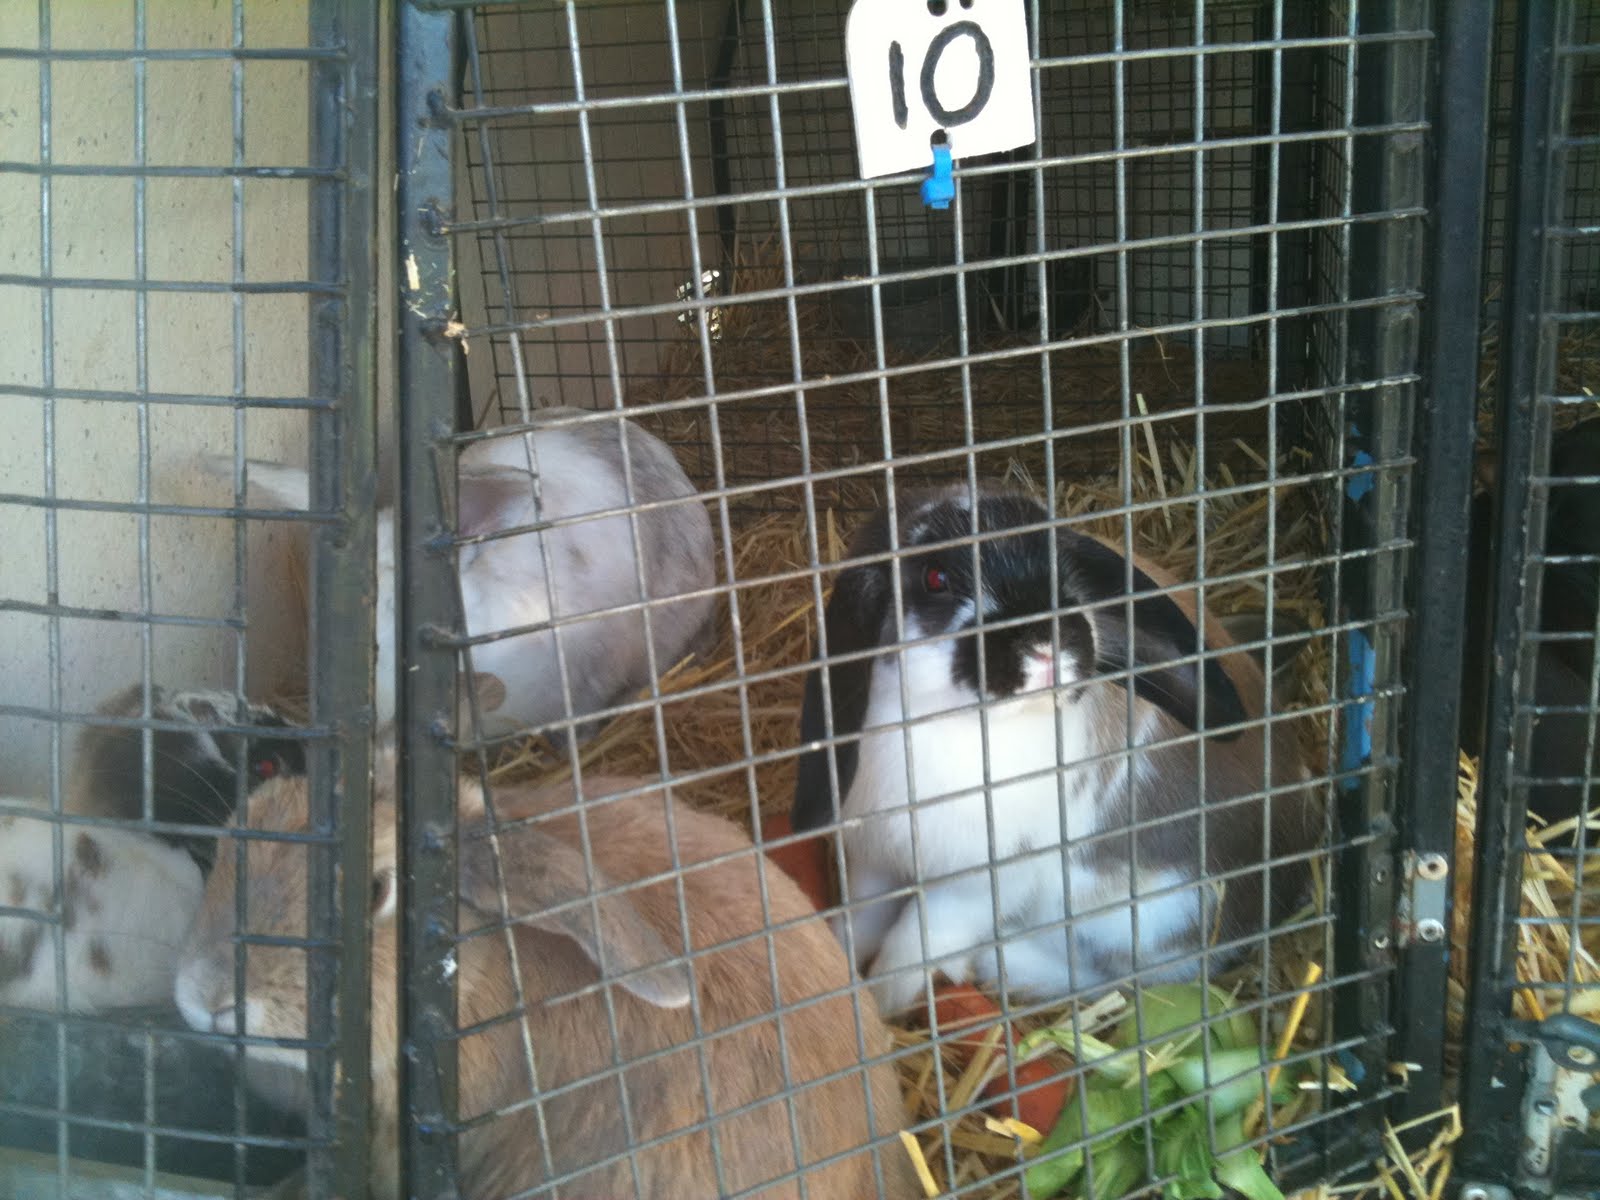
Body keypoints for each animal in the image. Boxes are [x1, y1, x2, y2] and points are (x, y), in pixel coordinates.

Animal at [791, 484, 1320, 1017]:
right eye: (935, 577)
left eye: (1061, 567)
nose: (1046, 643)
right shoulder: (875, 862)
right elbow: (859, 923)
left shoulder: (976, 888)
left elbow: (909, 949)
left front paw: (881, 1008)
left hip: (1150, 920)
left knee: (1117, 982)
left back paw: (994, 961)